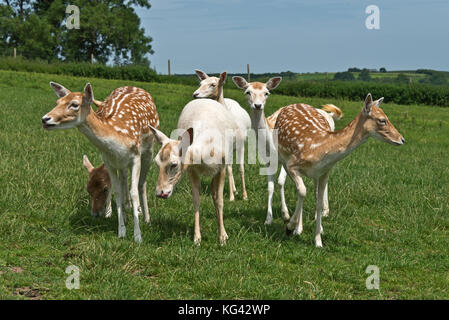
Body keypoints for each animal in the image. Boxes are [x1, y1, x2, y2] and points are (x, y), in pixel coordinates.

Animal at [40, 82, 159, 242]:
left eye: (74, 104)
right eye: (58, 102)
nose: (45, 119)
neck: (118, 137)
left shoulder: (135, 156)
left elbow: (134, 191)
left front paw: (137, 236)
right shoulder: (109, 160)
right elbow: (117, 191)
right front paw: (121, 231)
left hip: (149, 149)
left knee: (142, 183)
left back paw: (145, 217)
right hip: (121, 162)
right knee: (124, 178)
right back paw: (127, 213)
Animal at [149, 98, 243, 245]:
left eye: (174, 164)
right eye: (156, 162)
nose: (160, 192)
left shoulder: (221, 167)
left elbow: (220, 200)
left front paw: (223, 237)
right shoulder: (191, 169)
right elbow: (196, 200)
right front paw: (197, 238)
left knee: (214, 193)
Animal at [192, 69, 250, 200]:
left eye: (213, 84)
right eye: (200, 83)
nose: (195, 94)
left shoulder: (241, 144)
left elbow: (241, 168)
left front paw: (245, 196)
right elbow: (228, 168)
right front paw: (231, 197)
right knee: (229, 166)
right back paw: (234, 190)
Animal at [231, 76, 344, 225]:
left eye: (267, 93)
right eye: (247, 92)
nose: (257, 105)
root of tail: (329, 115)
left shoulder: (286, 158)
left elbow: (280, 182)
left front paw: (286, 215)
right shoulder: (267, 160)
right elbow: (270, 187)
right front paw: (268, 219)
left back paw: (323, 212)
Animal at [274, 93, 404, 248]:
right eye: (382, 120)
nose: (402, 139)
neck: (319, 149)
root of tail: (291, 105)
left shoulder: (325, 172)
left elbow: (318, 202)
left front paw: (318, 241)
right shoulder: (292, 164)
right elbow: (302, 191)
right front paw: (289, 227)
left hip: (315, 174)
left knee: (313, 194)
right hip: (281, 157)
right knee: (296, 188)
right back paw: (293, 225)